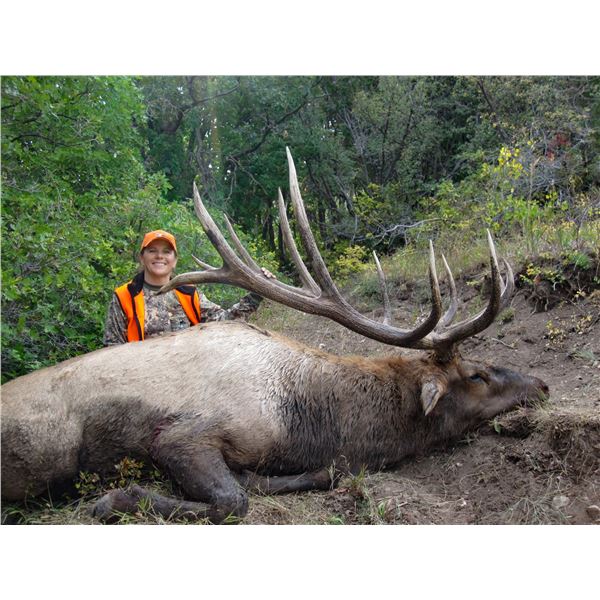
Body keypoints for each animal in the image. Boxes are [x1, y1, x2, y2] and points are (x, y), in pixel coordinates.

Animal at [1, 149, 549, 523]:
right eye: (476, 374)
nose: (542, 384)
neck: (303, 418)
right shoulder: (181, 435)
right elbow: (232, 500)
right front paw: (112, 499)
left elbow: (314, 474)